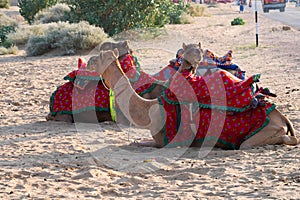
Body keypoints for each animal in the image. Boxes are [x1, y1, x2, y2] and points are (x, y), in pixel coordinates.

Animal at [93, 48, 298, 148]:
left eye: (97, 59)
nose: (89, 60)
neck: (149, 109)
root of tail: (283, 118)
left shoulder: (164, 141)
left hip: (263, 134)